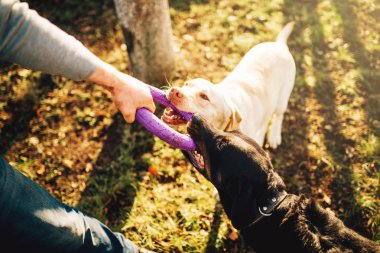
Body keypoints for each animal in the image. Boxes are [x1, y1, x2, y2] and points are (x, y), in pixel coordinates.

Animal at [162, 22, 296, 148]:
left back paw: (274, 136)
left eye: (204, 97)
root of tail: (279, 45)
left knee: (279, 115)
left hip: (282, 98)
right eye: (186, 84)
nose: (174, 91)